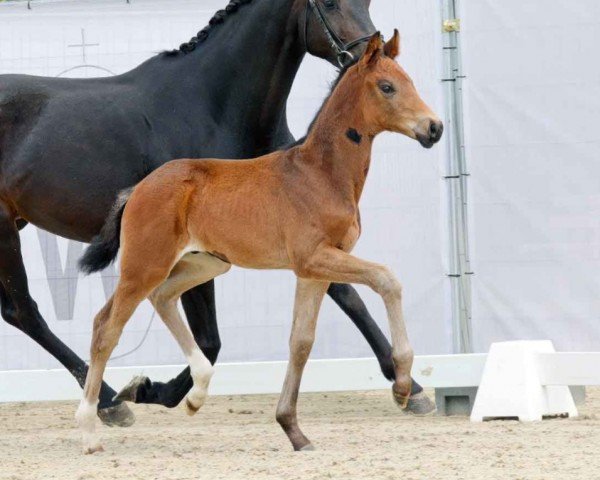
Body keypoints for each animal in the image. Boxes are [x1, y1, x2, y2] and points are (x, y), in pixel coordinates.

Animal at [0, 0, 432, 424]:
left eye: (367, 2)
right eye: (329, 3)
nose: (370, 52)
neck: (214, 105)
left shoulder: (304, 240)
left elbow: (348, 297)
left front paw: (411, 388)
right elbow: (209, 339)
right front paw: (154, 390)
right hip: (9, 231)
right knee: (25, 312)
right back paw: (110, 401)